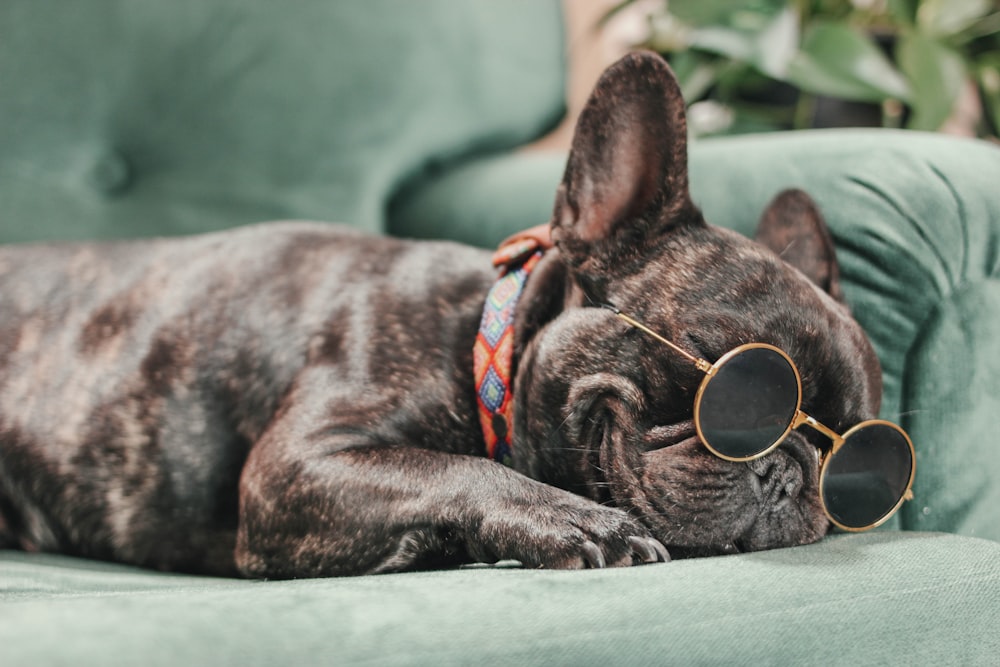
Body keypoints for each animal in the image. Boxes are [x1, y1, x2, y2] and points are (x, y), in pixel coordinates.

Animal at [0, 53, 884, 580]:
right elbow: (452, 468)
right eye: (736, 393)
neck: (479, 344)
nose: (788, 471)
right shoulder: (299, 465)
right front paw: (574, 520)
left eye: (849, 454)